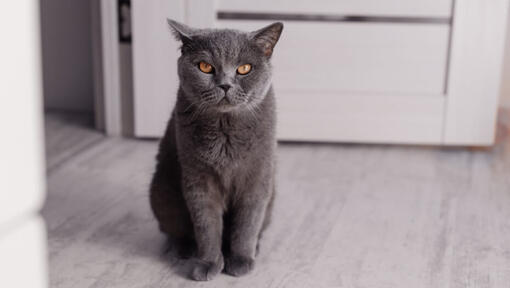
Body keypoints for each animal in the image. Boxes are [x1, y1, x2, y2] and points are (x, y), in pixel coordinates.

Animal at [148, 18, 282, 282]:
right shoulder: (198, 178)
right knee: (175, 228)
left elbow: (247, 224)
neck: (225, 129)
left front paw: (240, 260)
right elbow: (206, 225)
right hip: (162, 191)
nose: (225, 85)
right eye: (205, 67)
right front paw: (208, 263)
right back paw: (184, 249)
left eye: (244, 68)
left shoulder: (258, 177)